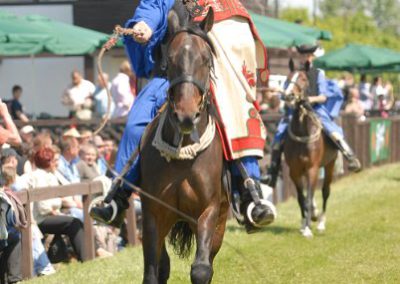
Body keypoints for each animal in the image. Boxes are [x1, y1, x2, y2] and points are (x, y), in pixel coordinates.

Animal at [140, 8, 230, 284]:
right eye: (170, 60)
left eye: (206, 60)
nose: (186, 116)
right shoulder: (154, 213)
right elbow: (153, 272)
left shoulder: (208, 211)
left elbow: (201, 269)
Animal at [284, 70, 338, 237]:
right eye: (288, 78)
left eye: (303, 79)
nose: (289, 95)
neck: (303, 134)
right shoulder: (294, 171)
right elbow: (302, 198)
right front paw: (304, 224)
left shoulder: (312, 168)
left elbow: (308, 197)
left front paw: (308, 229)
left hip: (330, 165)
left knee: (325, 191)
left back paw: (320, 223)